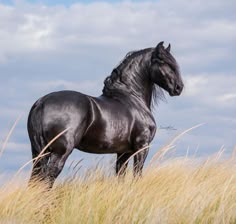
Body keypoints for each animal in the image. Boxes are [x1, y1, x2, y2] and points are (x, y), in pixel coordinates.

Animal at [27, 42, 183, 187]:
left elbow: (120, 176)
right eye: (163, 62)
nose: (179, 87)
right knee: (48, 178)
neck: (131, 97)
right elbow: (137, 175)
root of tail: (42, 102)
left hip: (38, 152)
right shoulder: (142, 147)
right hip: (60, 152)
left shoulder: (123, 152)